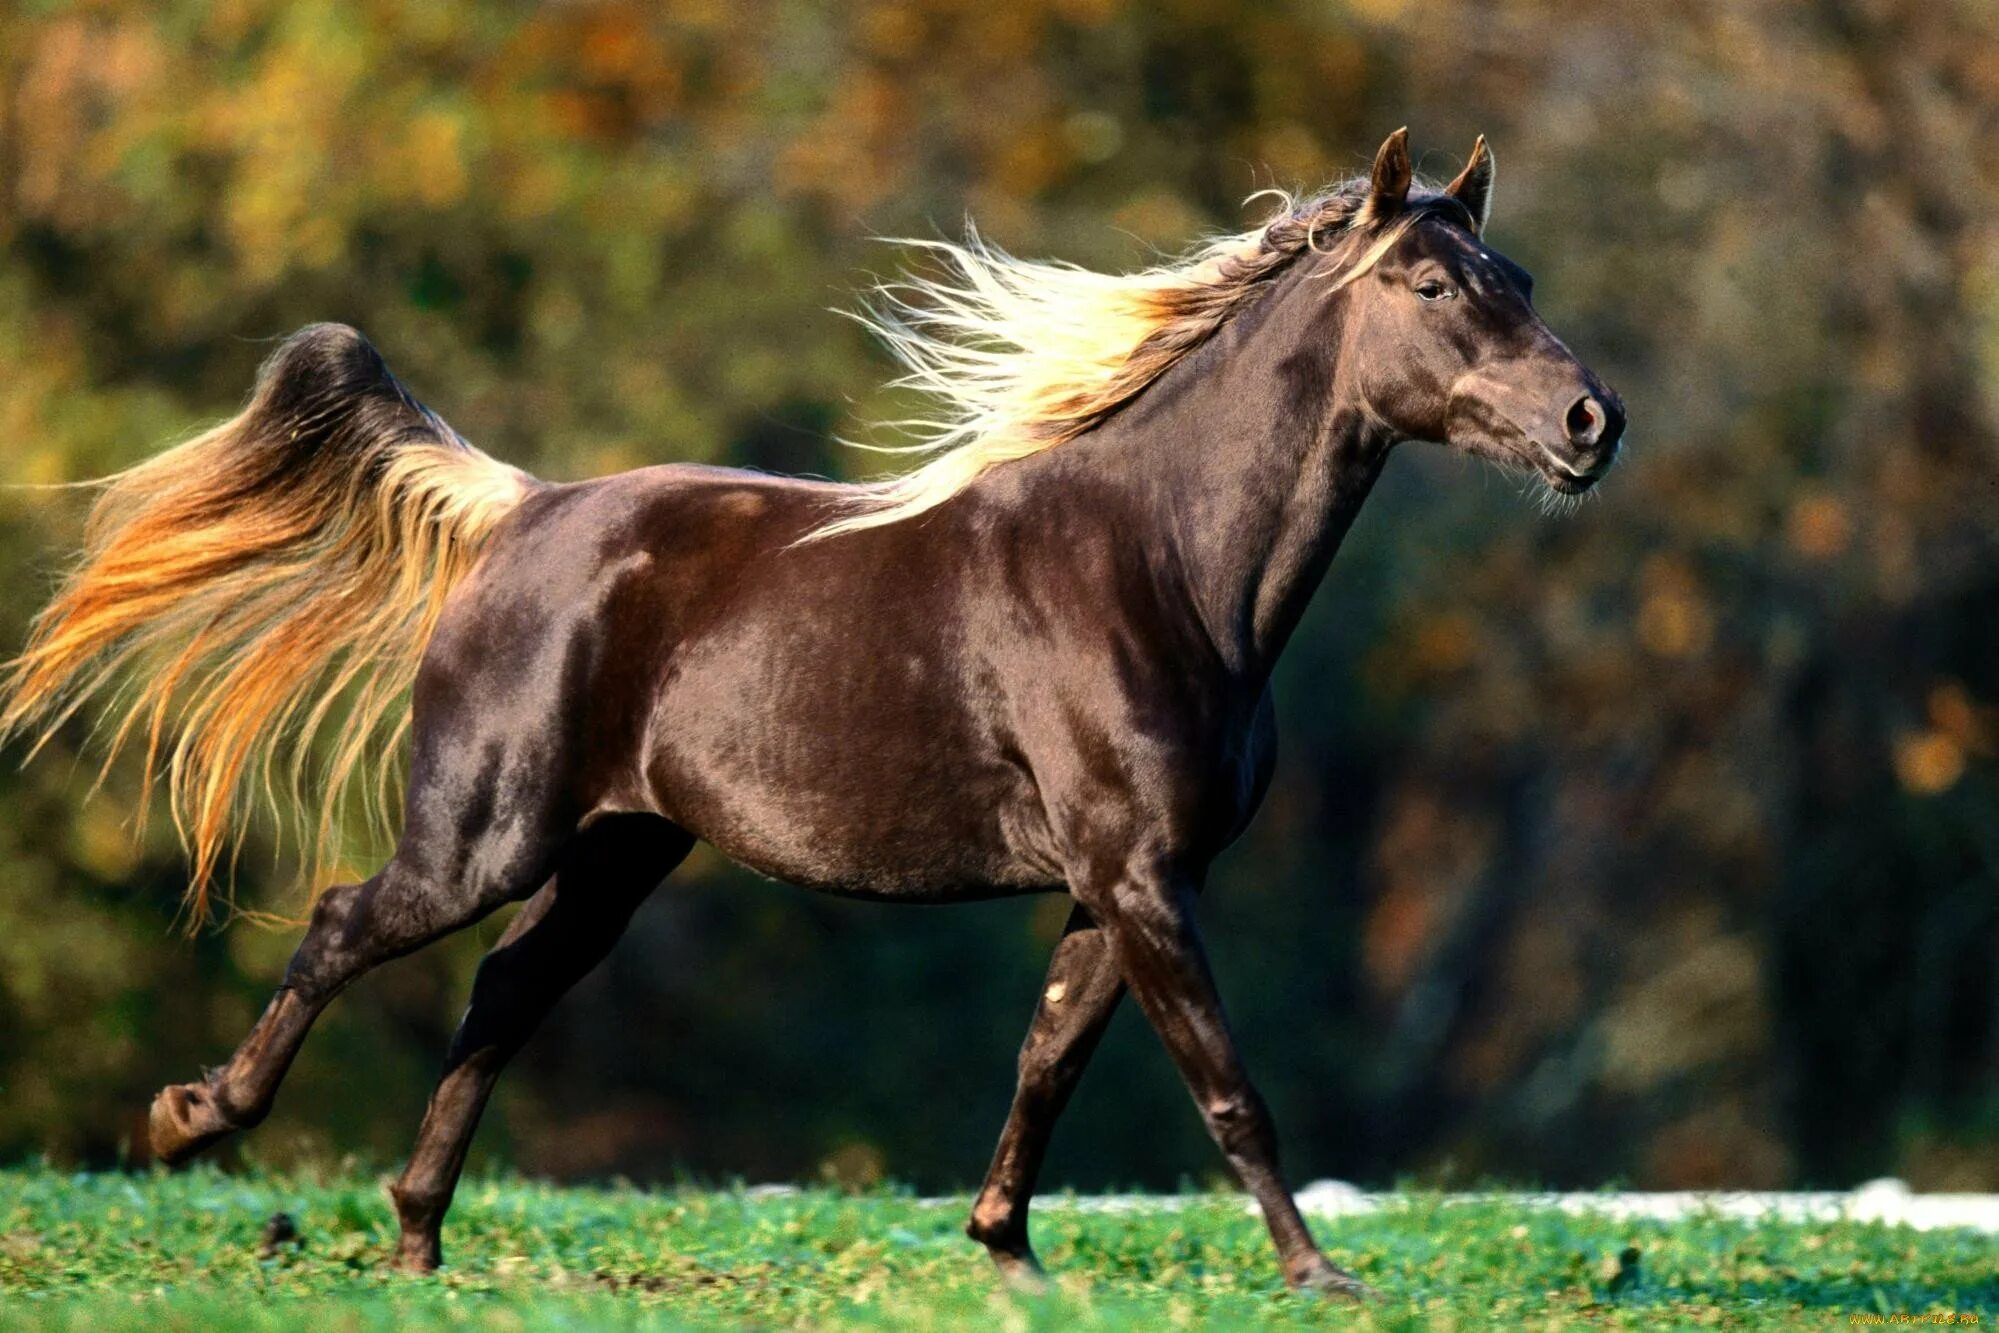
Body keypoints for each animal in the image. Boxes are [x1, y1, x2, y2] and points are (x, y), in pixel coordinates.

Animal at [3, 129, 1623, 1295]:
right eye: (1432, 287)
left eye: (1525, 276)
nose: (1588, 424)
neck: (1162, 563)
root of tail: (524, 512)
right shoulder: (1140, 878)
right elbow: (1224, 1085)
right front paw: (1320, 1276)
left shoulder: (1122, 886)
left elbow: (1048, 1061)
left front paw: (1007, 1257)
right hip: (484, 837)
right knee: (351, 924)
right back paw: (200, 1121)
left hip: (614, 852)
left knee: (503, 994)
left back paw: (413, 1239)